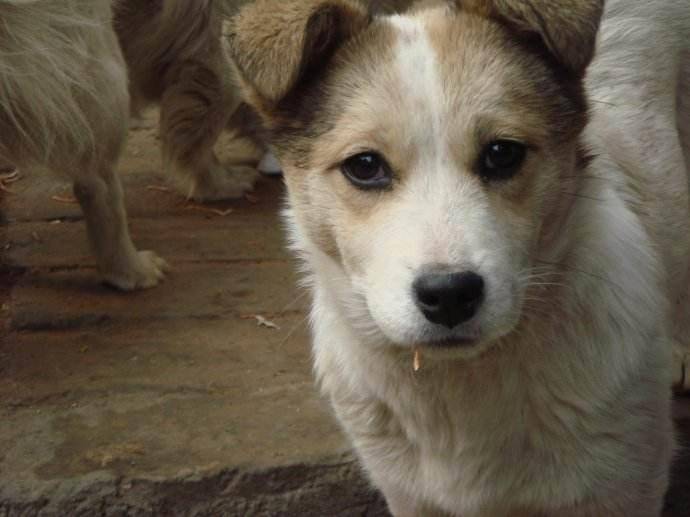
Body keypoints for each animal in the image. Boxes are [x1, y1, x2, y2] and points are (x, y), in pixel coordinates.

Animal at [228, 0, 688, 512]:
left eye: (502, 153)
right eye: (364, 166)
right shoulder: (409, 496)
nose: (449, 295)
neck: (459, 386)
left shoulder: (624, 487)